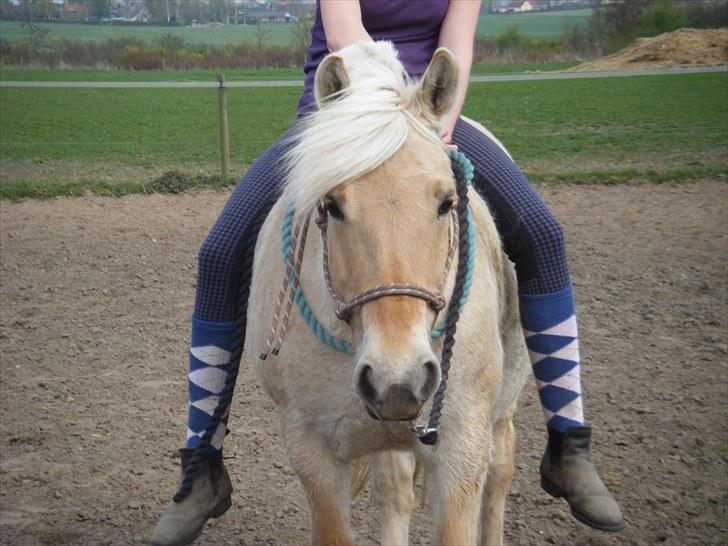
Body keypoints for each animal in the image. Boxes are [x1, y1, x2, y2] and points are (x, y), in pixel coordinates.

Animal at [245, 42, 528, 544]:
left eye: (447, 202)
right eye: (332, 204)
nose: (399, 380)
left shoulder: (461, 450)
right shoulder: (311, 452)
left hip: (500, 411)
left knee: (499, 476)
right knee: (394, 490)